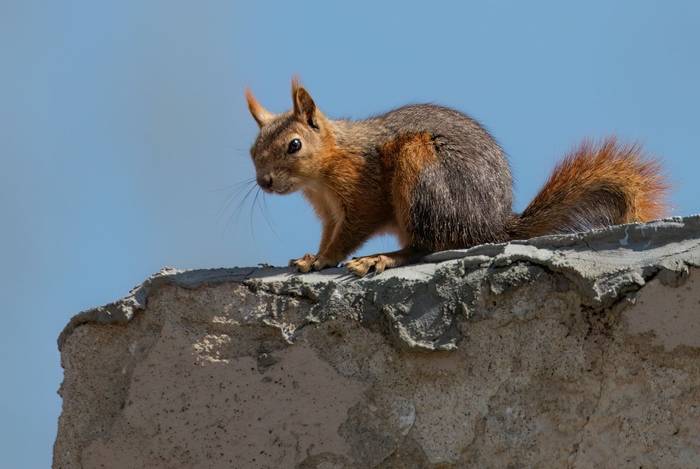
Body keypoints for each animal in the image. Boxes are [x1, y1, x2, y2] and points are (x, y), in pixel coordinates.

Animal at [245, 78, 668, 277]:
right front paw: (312, 256)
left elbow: (350, 232)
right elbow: (329, 233)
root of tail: (491, 226)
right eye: (252, 150)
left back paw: (382, 259)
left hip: (422, 176)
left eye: (294, 145)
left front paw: (324, 260)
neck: (321, 176)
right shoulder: (329, 212)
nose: (264, 182)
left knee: (425, 245)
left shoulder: (363, 193)